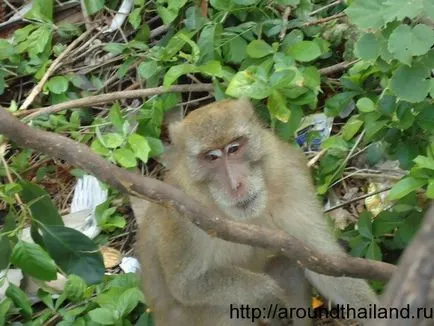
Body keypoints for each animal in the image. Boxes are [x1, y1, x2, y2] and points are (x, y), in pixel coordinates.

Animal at [131, 97, 378, 326]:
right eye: (211, 157)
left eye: (234, 148)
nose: (235, 184)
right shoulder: (179, 214)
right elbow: (186, 285)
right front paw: (264, 293)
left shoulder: (293, 177)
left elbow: (325, 264)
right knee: (226, 312)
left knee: (288, 263)